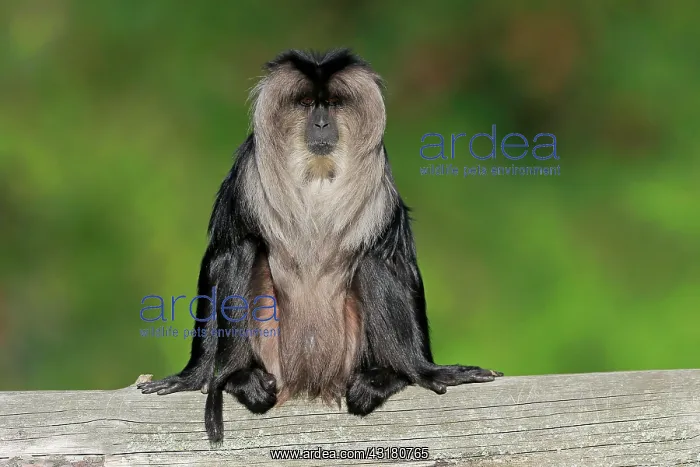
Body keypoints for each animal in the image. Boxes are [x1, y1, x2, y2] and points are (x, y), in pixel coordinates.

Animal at [138, 48, 503, 445]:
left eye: (333, 104)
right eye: (307, 104)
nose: (323, 124)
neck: (317, 171)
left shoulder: (382, 185)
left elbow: (395, 259)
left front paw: (426, 370)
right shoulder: (245, 175)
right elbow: (223, 253)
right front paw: (193, 375)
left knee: (371, 259)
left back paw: (386, 377)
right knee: (245, 250)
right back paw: (241, 377)